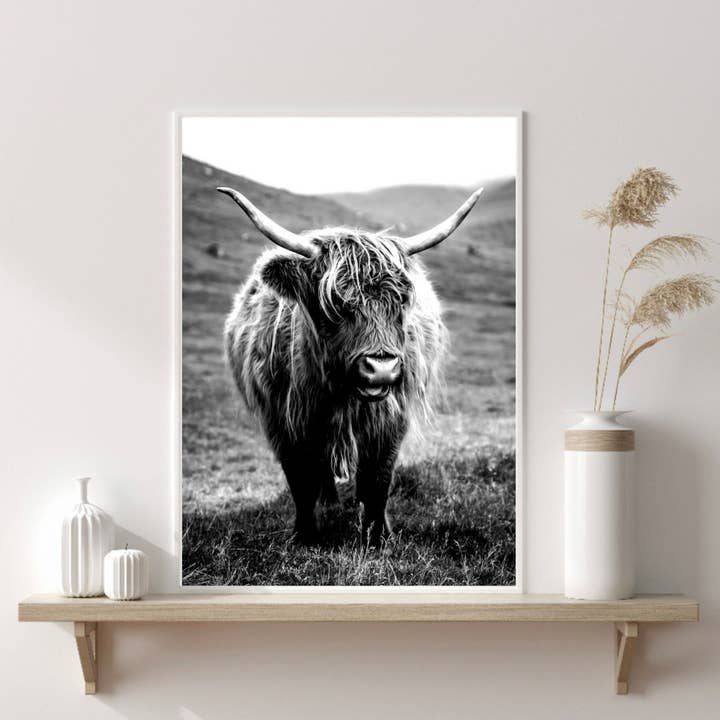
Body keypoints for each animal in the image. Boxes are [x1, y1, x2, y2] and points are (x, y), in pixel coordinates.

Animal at [219, 185, 483, 546]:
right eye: (336, 303)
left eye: (401, 300)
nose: (381, 367)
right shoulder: (282, 420)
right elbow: (300, 480)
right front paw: (305, 534)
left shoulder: (391, 417)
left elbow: (378, 479)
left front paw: (377, 535)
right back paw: (329, 502)